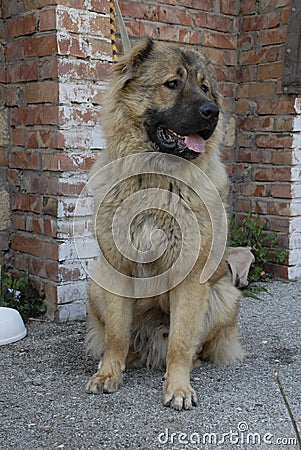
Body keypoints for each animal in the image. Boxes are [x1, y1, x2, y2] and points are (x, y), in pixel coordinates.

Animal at [84, 38, 241, 412]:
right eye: (172, 83)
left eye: (204, 87)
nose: (212, 112)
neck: (157, 177)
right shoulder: (116, 269)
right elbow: (116, 334)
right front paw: (109, 373)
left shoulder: (191, 276)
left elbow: (181, 342)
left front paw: (179, 388)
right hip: (95, 285)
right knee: (123, 338)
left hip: (225, 295)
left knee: (192, 344)